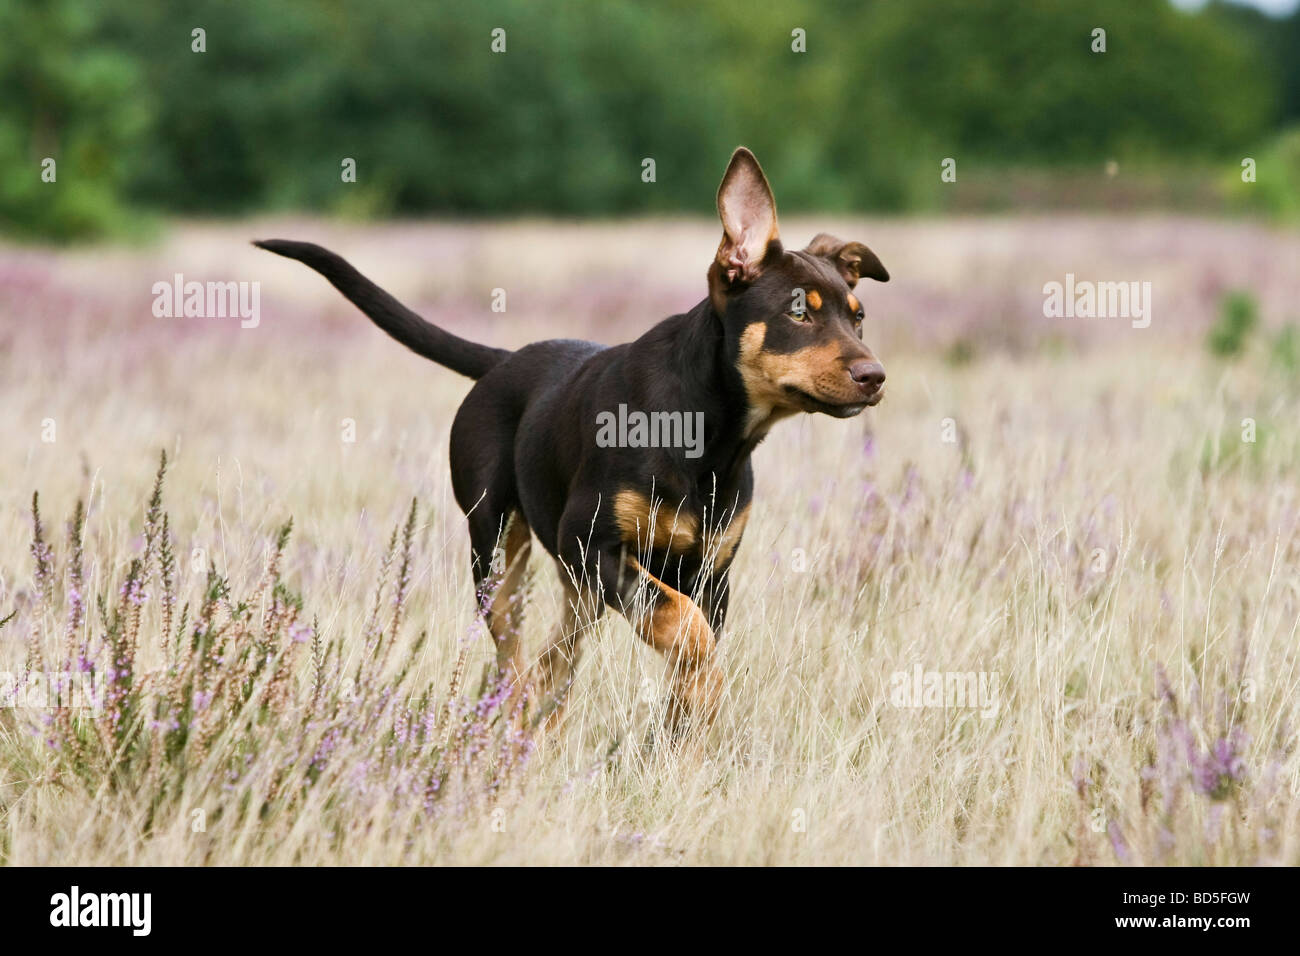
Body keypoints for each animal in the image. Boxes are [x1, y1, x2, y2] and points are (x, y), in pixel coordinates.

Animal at [256, 147, 883, 733]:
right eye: (799, 312)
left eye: (858, 316)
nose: (874, 376)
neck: (711, 437)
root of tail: (503, 360)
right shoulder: (594, 544)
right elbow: (686, 629)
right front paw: (698, 697)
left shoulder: (709, 573)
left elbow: (688, 641)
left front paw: (684, 732)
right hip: (496, 547)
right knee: (513, 652)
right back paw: (512, 721)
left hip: (573, 583)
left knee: (555, 656)